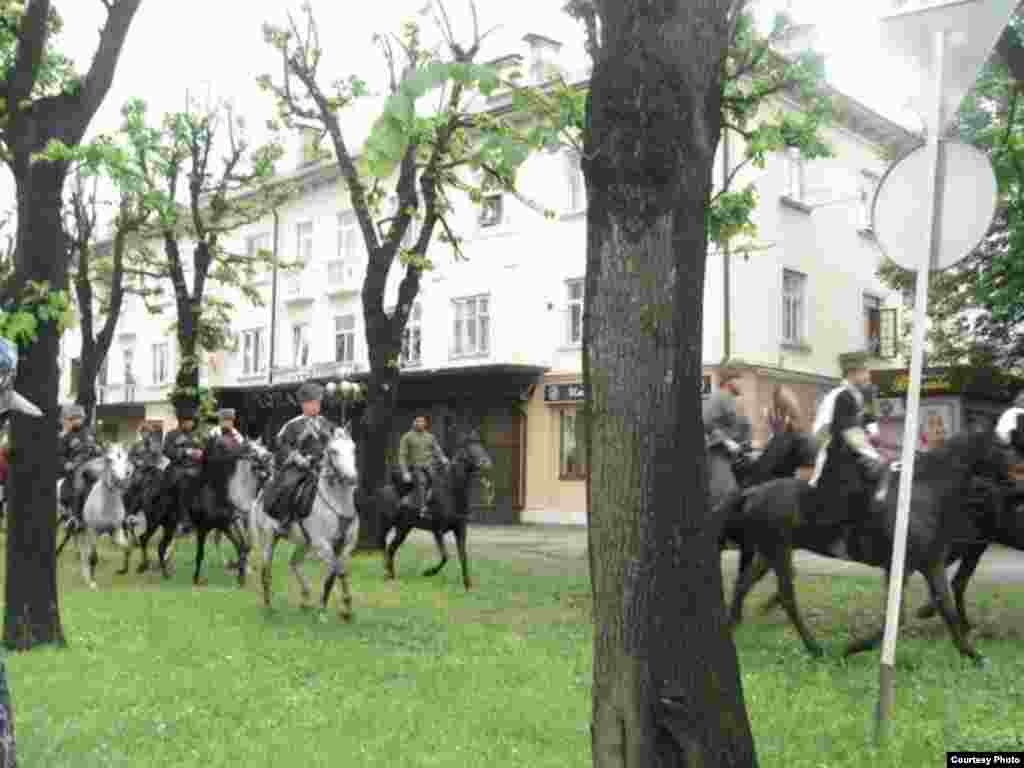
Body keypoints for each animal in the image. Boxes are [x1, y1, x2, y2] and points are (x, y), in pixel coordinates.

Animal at [57, 444, 136, 589]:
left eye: (126, 459)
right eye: (109, 460)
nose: (121, 481)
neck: (107, 504)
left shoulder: (115, 531)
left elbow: (127, 548)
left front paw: (123, 570)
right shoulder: (93, 531)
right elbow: (93, 557)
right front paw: (93, 583)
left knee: (81, 548)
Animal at [190, 438, 274, 589]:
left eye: (263, 447)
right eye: (252, 451)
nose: (269, 457)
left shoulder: (236, 521)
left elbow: (245, 545)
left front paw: (242, 572)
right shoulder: (207, 527)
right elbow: (201, 553)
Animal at [253, 430, 362, 622]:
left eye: (353, 448)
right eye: (333, 451)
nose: (351, 478)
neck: (337, 503)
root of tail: (262, 495)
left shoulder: (345, 546)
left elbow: (337, 573)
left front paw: (345, 609)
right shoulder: (322, 545)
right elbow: (337, 571)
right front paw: (326, 610)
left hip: (304, 543)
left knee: (294, 563)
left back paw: (305, 598)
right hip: (269, 538)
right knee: (266, 570)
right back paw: (268, 606)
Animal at [378, 430, 493, 593]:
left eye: (480, 445)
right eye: (469, 448)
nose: (486, 463)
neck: (451, 492)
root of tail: (385, 490)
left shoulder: (460, 530)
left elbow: (463, 556)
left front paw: (468, 585)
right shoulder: (437, 530)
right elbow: (445, 556)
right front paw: (428, 572)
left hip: (404, 528)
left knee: (391, 548)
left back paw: (391, 575)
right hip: (388, 525)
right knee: (383, 546)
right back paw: (386, 574)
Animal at [720, 430, 1007, 663]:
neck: (923, 493)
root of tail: (753, 492)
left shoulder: (930, 563)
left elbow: (947, 609)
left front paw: (972, 655)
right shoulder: (899, 568)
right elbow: (898, 617)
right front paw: (852, 648)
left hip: (768, 552)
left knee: (744, 584)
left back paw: (733, 627)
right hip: (778, 551)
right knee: (786, 597)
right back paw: (814, 648)